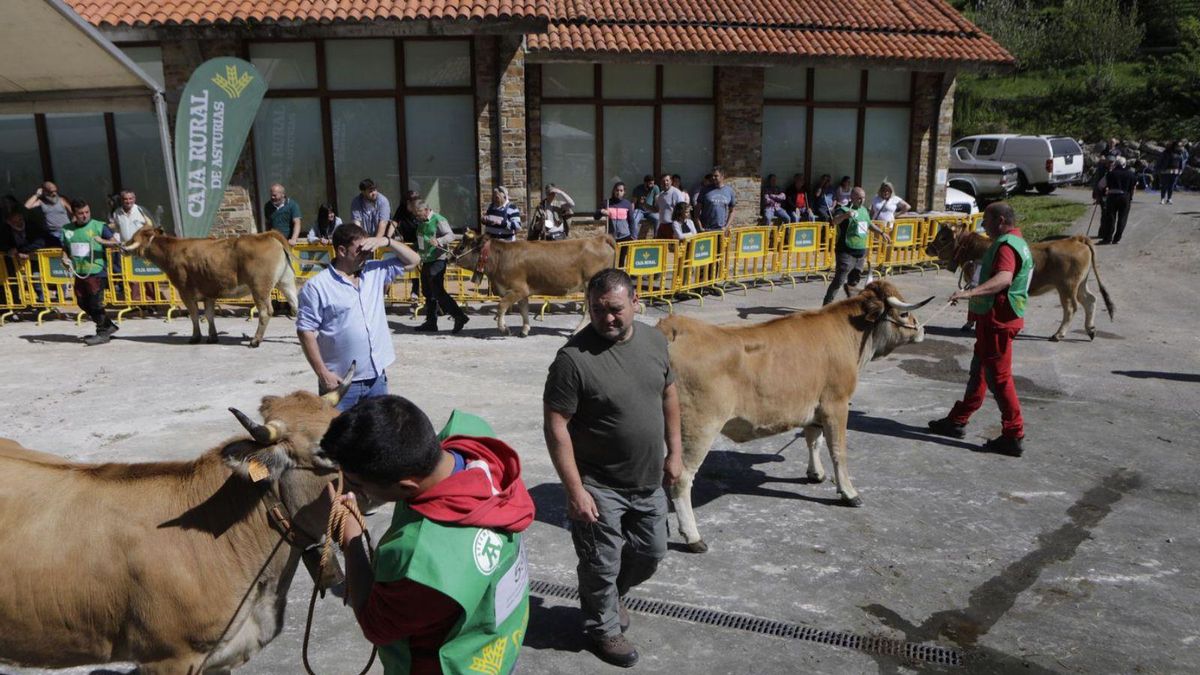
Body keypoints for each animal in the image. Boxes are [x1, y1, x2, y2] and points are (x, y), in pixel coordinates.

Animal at [123, 225, 300, 345]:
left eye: (134, 236)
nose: (123, 246)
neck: (172, 251)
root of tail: (267, 235)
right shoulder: (208, 294)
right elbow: (209, 315)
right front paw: (212, 337)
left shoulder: (185, 292)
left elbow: (194, 315)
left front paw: (195, 337)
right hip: (285, 282)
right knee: (297, 305)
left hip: (259, 287)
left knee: (265, 311)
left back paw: (255, 341)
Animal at [451, 230, 619, 336]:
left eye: (461, 246)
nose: (450, 257)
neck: (501, 257)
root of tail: (598, 239)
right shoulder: (523, 292)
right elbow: (524, 310)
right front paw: (524, 330)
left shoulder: (517, 289)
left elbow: (501, 306)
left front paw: (504, 329)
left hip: (591, 284)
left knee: (589, 311)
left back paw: (576, 331)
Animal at [657, 281, 926, 550]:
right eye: (903, 313)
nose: (921, 328)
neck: (849, 333)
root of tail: (675, 327)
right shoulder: (837, 404)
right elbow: (838, 451)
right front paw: (849, 492)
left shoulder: (814, 406)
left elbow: (813, 439)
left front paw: (816, 473)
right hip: (698, 428)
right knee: (680, 479)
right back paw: (693, 537)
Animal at [926, 227, 1113, 341]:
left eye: (943, 237)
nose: (928, 248)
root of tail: (1075, 239)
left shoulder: (975, 281)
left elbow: (974, 303)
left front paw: (968, 324)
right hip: (1080, 284)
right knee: (1090, 300)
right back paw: (1090, 329)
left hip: (1067, 287)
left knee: (1071, 308)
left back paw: (1059, 334)